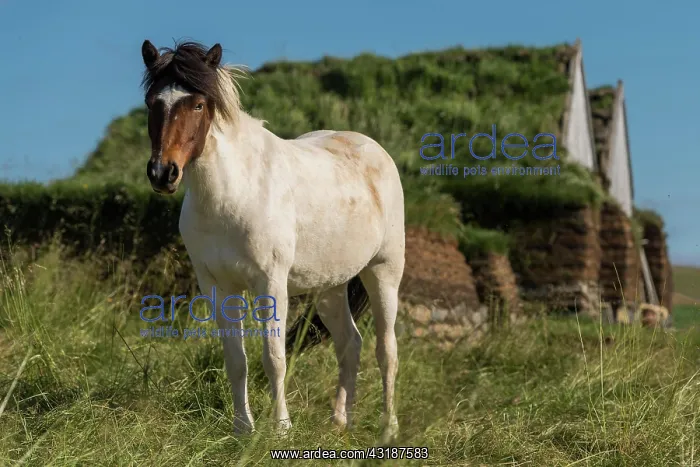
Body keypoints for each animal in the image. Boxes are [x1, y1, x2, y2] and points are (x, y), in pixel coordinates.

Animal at [140, 40, 406, 443]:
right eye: (152, 102)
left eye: (198, 104)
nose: (162, 173)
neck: (233, 194)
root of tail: (375, 151)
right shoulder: (218, 288)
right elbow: (236, 360)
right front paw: (242, 429)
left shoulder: (270, 283)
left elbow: (274, 357)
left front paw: (280, 428)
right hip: (330, 286)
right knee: (349, 343)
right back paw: (339, 422)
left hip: (384, 273)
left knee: (386, 349)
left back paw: (388, 429)